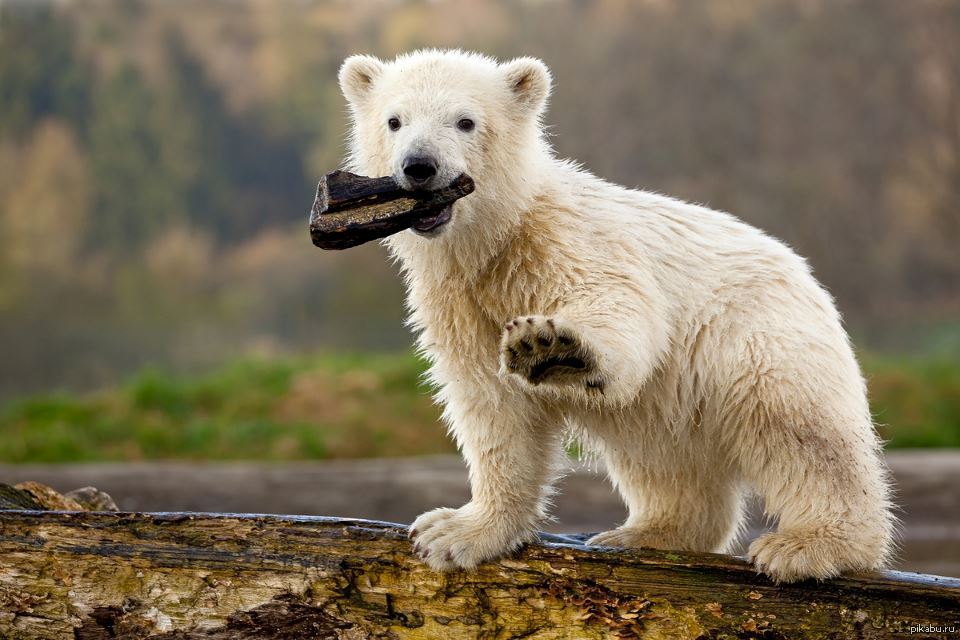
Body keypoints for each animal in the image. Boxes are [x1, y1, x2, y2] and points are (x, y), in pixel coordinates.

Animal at [336, 47, 892, 584]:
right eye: (394, 120)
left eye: (466, 121)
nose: (419, 165)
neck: (496, 241)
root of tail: (808, 279)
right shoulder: (459, 304)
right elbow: (495, 410)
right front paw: (456, 533)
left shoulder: (568, 244)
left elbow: (618, 305)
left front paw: (549, 346)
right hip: (672, 400)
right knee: (665, 459)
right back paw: (647, 532)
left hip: (756, 339)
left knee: (798, 431)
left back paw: (810, 545)